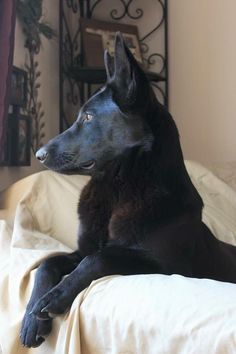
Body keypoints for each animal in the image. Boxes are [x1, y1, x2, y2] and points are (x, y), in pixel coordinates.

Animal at [19, 34, 236, 348]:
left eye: (88, 118)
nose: (39, 154)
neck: (116, 189)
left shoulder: (167, 266)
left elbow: (102, 257)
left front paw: (55, 297)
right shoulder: (79, 250)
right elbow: (49, 262)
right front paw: (32, 317)